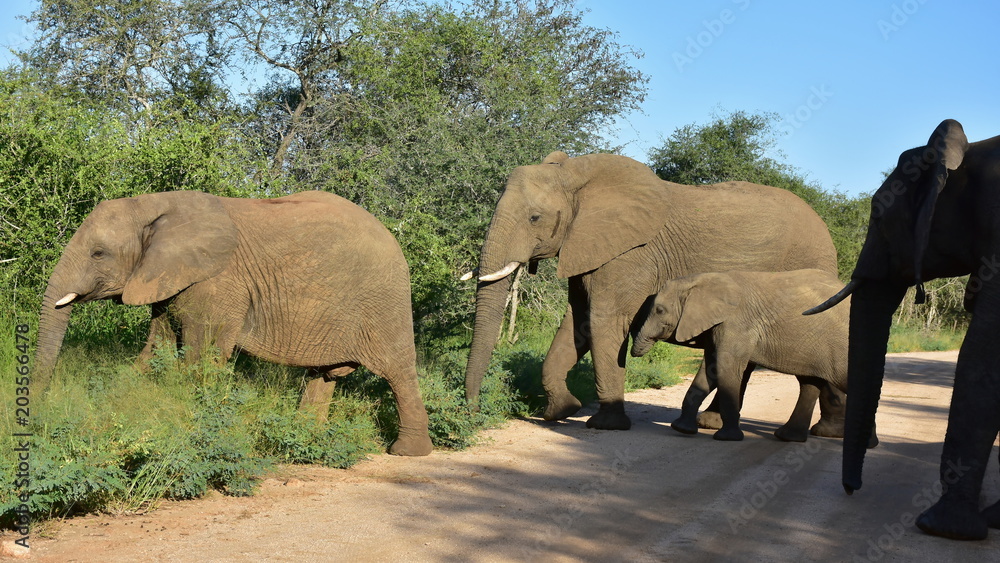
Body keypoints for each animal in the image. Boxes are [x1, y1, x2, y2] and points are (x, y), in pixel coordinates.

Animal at [33, 190, 433, 456]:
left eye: (98, 253)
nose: (38, 411)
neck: (154, 204)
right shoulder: (165, 278)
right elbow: (155, 350)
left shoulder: (217, 283)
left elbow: (203, 358)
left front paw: (194, 430)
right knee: (324, 376)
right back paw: (305, 438)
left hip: (385, 300)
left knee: (397, 371)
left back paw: (407, 452)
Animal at [463, 150, 840, 431]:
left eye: (535, 218)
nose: (474, 411)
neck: (577, 175)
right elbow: (577, 322)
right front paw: (561, 411)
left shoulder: (632, 254)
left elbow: (605, 321)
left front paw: (605, 425)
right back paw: (713, 423)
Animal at [631, 269, 872, 445]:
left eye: (660, 310)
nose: (634, 352)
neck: (704, 279)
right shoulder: (719, 326)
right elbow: (709, 372)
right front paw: (681, 428)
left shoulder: (737, 324)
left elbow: (726, 369)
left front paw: (727, 439)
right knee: (810, 383)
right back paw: (787, 438)